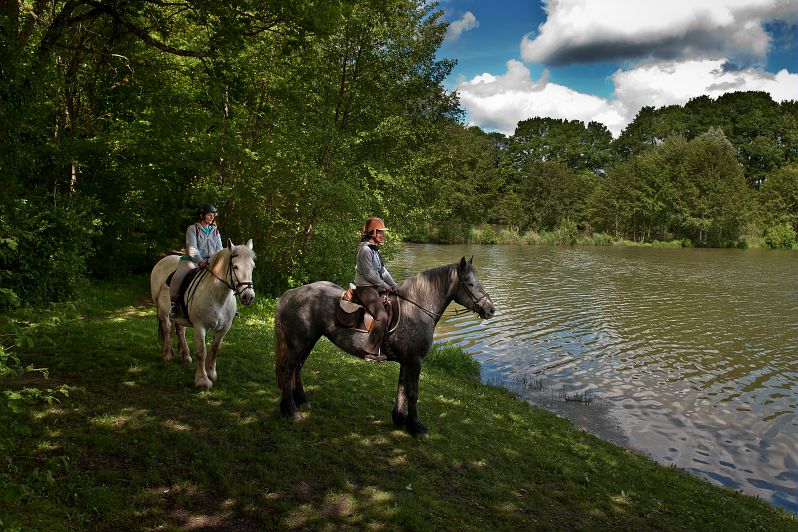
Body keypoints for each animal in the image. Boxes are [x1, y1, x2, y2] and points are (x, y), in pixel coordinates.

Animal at [149, 239, 255, 388]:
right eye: (235, 267)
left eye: (252, 267)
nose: (248, 297)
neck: (218, 297)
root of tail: (164, 259)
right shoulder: (200, 326)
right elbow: (201, 352)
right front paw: (202, 380)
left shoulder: (224, 328)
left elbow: (215, 349)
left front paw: (211, 374)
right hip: (163, 312)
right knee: (167, 329)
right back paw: (168, 355)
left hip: (179, 317)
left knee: (180, 330)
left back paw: (185, 356)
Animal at [275, 257, 495, 437]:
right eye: (470, 283)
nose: (490, 309)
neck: (415, 308)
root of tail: (291, 293)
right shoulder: (415, 361)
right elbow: (413, 392)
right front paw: (416, 427)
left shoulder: (406, 361)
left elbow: (402, 388)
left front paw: (399, 419)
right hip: (299, 343)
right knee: (288, 371)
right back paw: (291, 410)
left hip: (308, 341)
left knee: (297, 369)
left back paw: (301, 401)